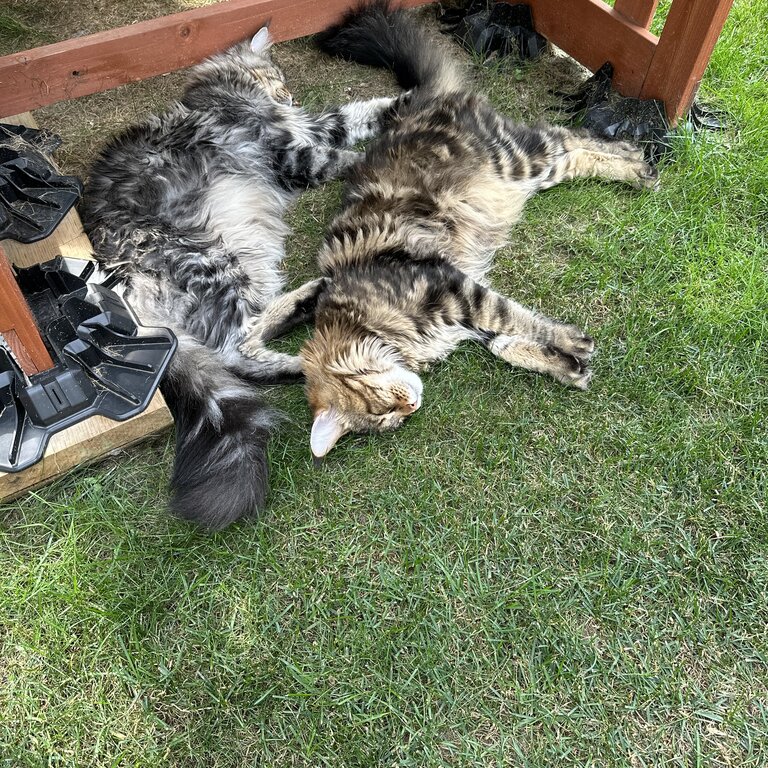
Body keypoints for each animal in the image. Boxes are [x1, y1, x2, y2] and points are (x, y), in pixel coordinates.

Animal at [81, 25, 400, 528]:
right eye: (276, 77)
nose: (289, 93)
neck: (225, 94)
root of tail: (115, 271)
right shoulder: (293, 152)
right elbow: (345, 151)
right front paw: (379, 150)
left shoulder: (310, 128)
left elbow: (355, 114)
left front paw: (407, 102)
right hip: (214, 261)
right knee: (239, 349)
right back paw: (307, 348)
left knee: (245, 341)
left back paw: (305, 309)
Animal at [292, 1, 656, 456]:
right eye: (387, 421)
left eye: (380, 408)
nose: (411, 406)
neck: (360, 316)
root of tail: (423, 99)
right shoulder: (459, 317)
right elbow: (504, 343)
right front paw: (566, 365)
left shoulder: (456, 288)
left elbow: (517, 318)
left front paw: (571, 343)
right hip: (530, 173)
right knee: (575, 154)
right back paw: (635, 166)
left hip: (518, 157)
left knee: (572, 136)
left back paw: (636, 163)